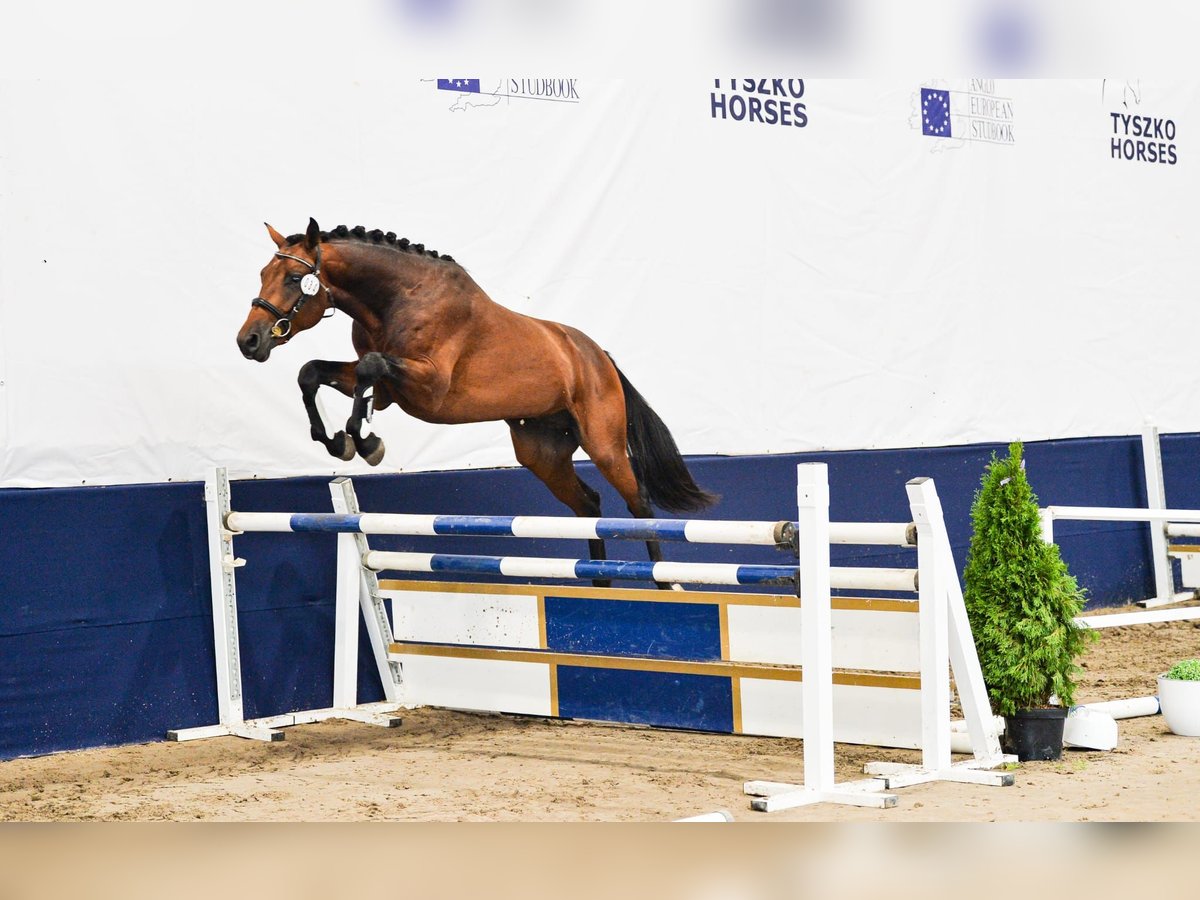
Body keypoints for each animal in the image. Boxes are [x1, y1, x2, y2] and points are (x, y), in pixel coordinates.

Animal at [238, 220, 715, 585]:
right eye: (262, 274)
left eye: (294, 279)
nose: (249, 341)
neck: (399, 297)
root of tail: (598, 356)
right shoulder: (387, 388)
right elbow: (313, 372)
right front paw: (339, 442)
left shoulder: (427, 386)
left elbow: (370, 369)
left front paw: (363, 442)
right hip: (542, 453)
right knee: (588, 506)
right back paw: (598, 584)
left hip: (604, 444)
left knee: (639, 506)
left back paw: (663, 583)